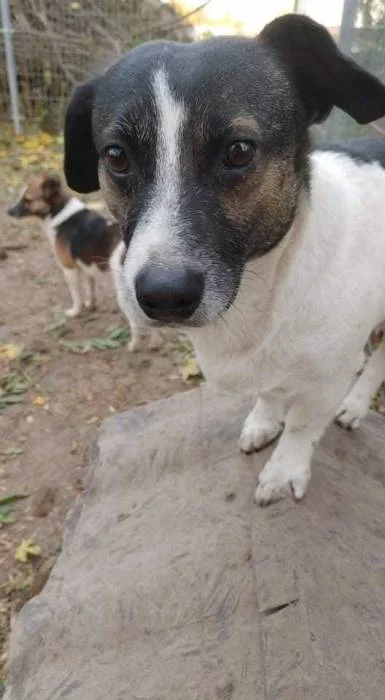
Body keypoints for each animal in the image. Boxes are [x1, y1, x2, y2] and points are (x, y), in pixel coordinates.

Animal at [7, 173, 160, 352]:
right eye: (21, 197)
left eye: (27, 199)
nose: (8, 211)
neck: (60, 213)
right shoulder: (86, 266)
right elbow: (90, 289)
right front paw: (90, 305)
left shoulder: (69, 269)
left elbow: (76, 295)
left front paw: (75, 311)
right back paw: (155, 343)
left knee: (135, 323)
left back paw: (133, 346)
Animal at [64, 15, 384, 504]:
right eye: (116, 156)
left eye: (240, 150)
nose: (163, 297)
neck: (270, 284)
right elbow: (271, 393)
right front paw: (265, 421)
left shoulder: (328, 377)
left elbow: (303, 427)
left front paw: (284, 470)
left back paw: (354, 405)